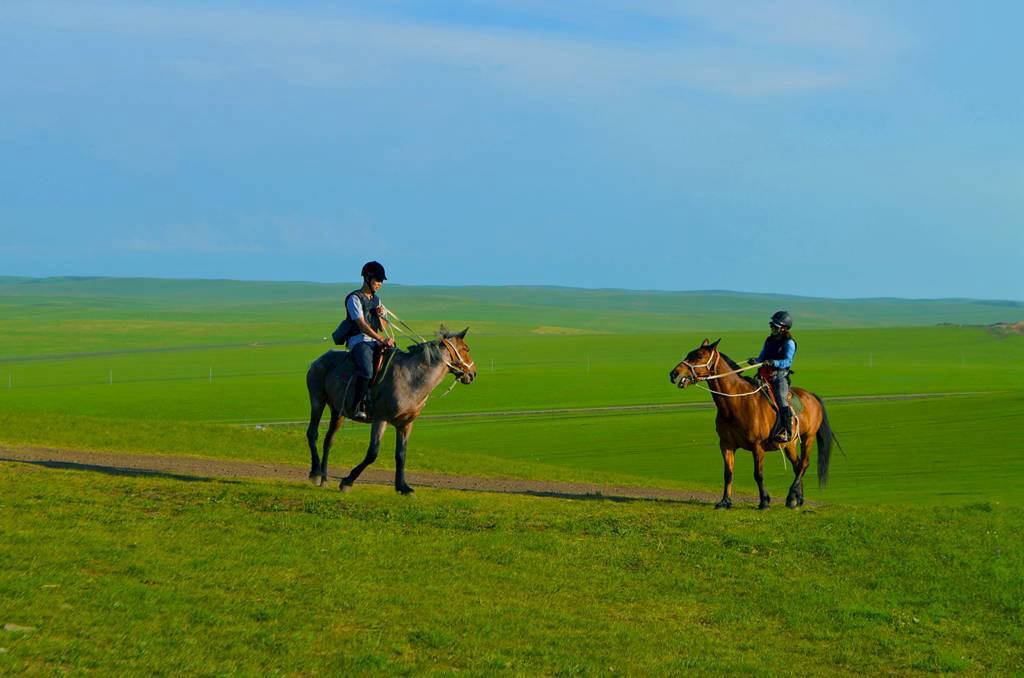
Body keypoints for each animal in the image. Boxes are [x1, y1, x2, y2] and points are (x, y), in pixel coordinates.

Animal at [303, 327, 475, 497]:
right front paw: (347, 481)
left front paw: (403, 487)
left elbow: (401, 454)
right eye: (466, 348)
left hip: (338, 412)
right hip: (318, 400)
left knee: (329, 440)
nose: (473, 373)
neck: (411, 378)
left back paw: (324, 478)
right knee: (312, 434)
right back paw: (315, 474)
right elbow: (372, 453)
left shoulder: (405, 424)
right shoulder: (381, 419)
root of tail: (317, 361)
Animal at [663, 340, 839, 510]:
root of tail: (813, 397)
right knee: (797, 465)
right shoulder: (726, 445)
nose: (674, 373)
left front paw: (764, 502)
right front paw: (725, 502)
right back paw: (797, 499)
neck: (737, 403)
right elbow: (728, 473)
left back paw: (791, 497)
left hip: (808, 437)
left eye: (699, 356)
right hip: (790, 443)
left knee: (804, 464)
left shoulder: (757, 446)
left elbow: (758, 474)